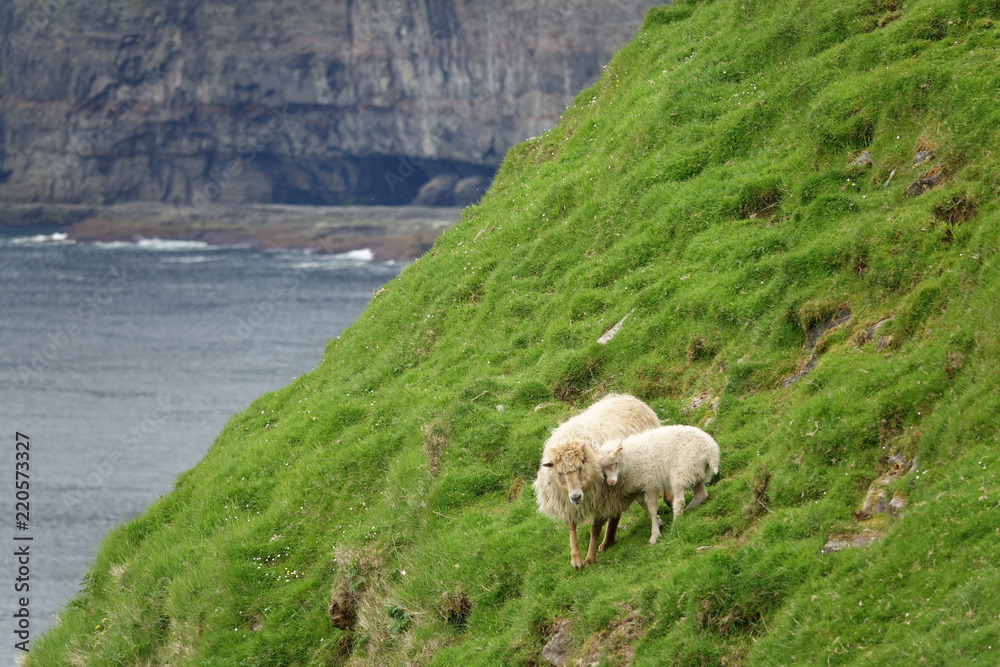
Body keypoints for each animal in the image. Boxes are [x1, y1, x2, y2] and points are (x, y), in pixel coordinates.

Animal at [532, 394, 664, 572]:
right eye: (559, 473)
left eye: (580, 468)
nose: (576, 497)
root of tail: (627, 397)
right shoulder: (566, 502)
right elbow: (571, 527)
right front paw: (576, 560)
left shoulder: (602, 498)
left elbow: (594, 529)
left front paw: (590, 558)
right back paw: (608, 542)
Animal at [592, 426, 720, 544]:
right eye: (602, 470)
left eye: (616, 463)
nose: (611, 482)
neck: (629, 459)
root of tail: (710, 447)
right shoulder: (638, 486)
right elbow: (642, 504)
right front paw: (657, 522)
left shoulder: (651, 483)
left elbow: (652, 508)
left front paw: (654, 534)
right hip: (694, 469)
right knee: (700, 493)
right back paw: (689, 509)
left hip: (680, 472)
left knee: (679, 501)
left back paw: (676, 523)